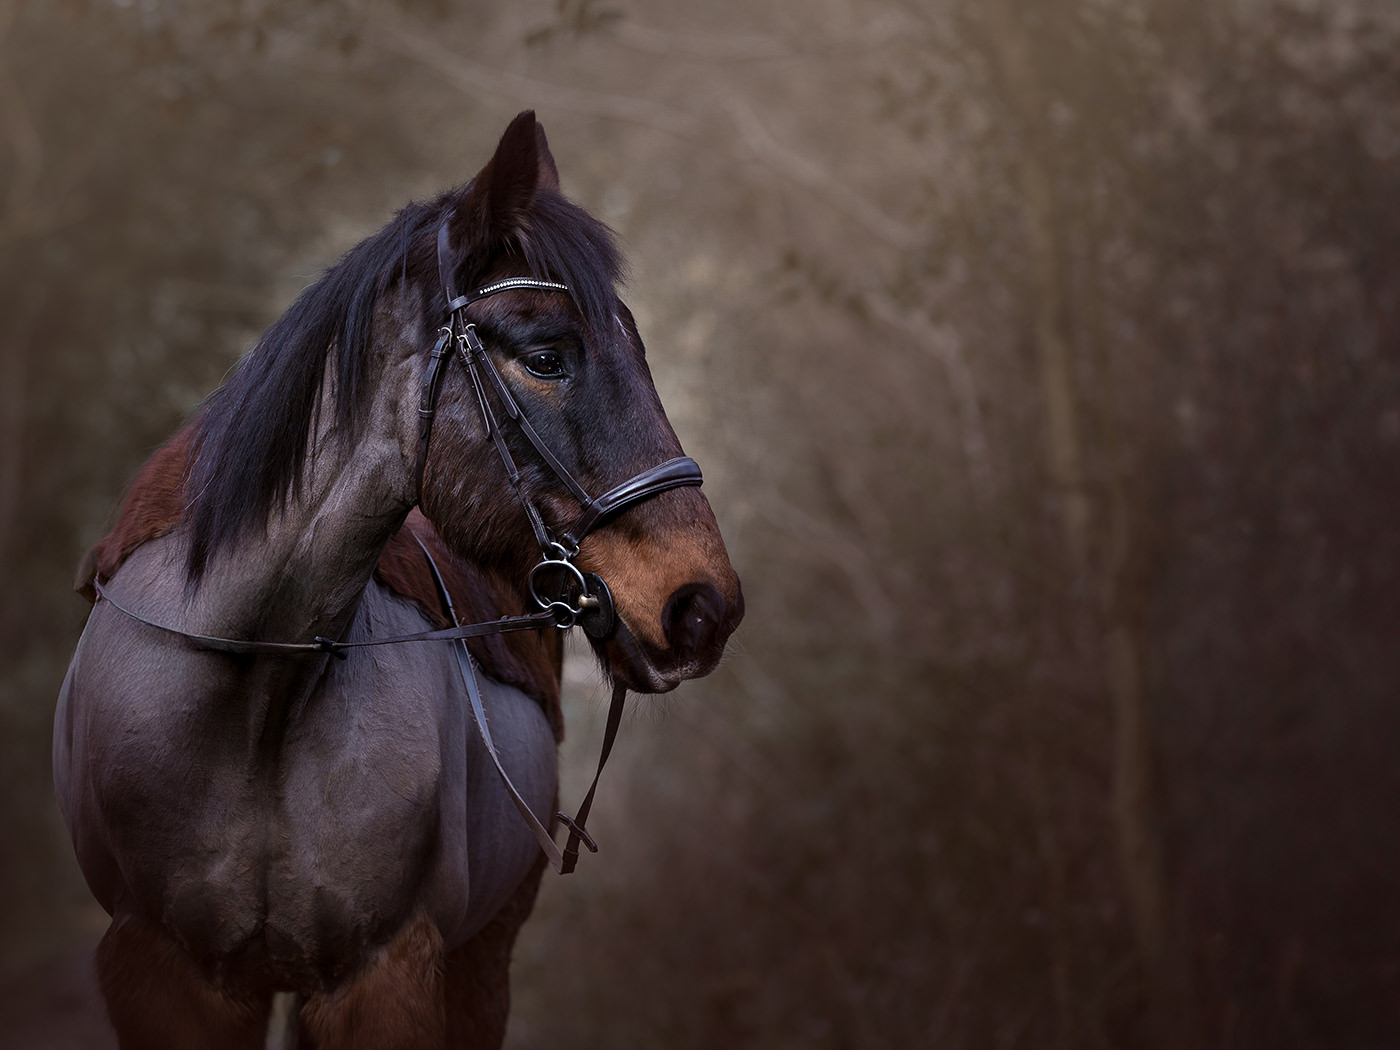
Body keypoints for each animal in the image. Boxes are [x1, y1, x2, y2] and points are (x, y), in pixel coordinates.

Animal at [52, 111, 743, 1049]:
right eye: (547, 356)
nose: (704, 605)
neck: (253, 694)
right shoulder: (161, 974)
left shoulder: (390, 975)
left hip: (483, 957)